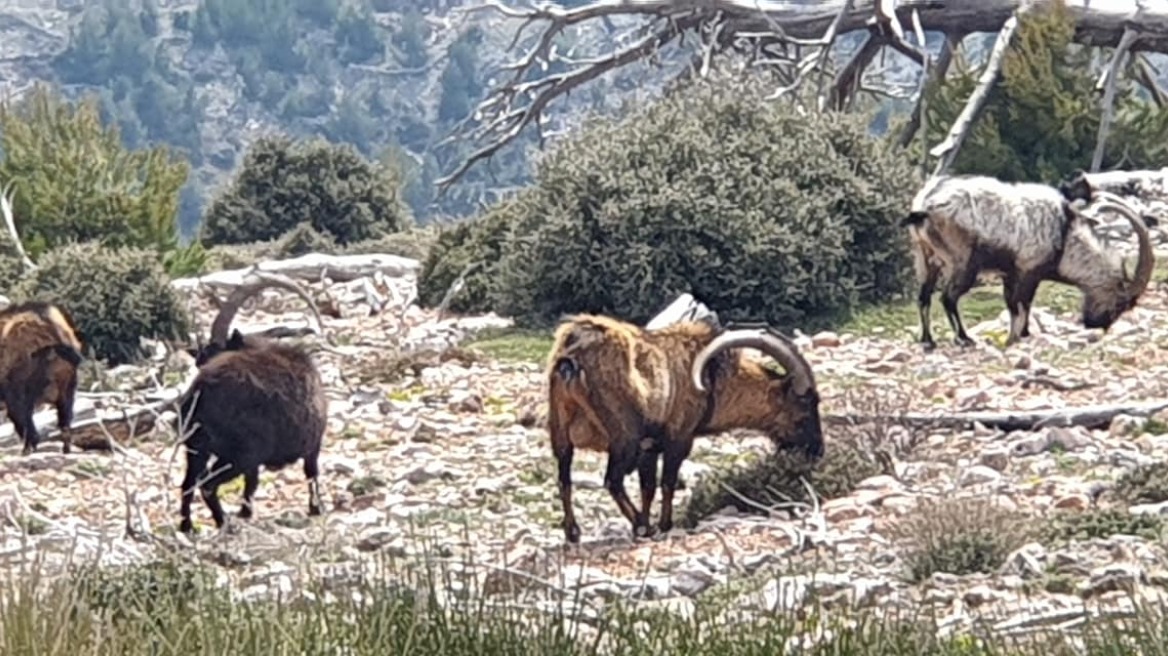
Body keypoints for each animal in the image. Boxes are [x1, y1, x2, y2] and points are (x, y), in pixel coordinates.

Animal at [178, 270, 334, 532]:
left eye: (206, 356)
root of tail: (201, 394)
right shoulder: (313, 442)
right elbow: (311, 472)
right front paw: (316, 508)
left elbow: (252, 482)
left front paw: (245, 512)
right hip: (238, 453)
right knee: (207, 484)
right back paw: (223, 523)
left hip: (196, 447)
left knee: (188, 483)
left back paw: (186, 526)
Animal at [544, 310, 822, 541]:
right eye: (805, 408)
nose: (816, 450)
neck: (713, 380)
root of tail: (571, 357)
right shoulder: (678, 438)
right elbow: (667, 482)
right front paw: (664, 524)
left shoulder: (649, 448)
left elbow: (648, 487)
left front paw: (652, 521)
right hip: (624, 436)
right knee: (613, 480)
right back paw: (640, 526)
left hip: (560, 429)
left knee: (564, 478)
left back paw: (573, 532)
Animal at [901, 173, 1149, 347]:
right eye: (1121, 303)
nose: (1097, 324)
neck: (1065, 236)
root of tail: (925, 206)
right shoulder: (1028, 272)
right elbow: (1022, 304)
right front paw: (1021, 335)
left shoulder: (1010, 275)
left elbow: (1013, 306)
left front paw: (1016, 336)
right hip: (962, 262)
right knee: (948, 298)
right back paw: (964, 338)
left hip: (924, 257)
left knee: (924, 297)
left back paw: (927, 340)